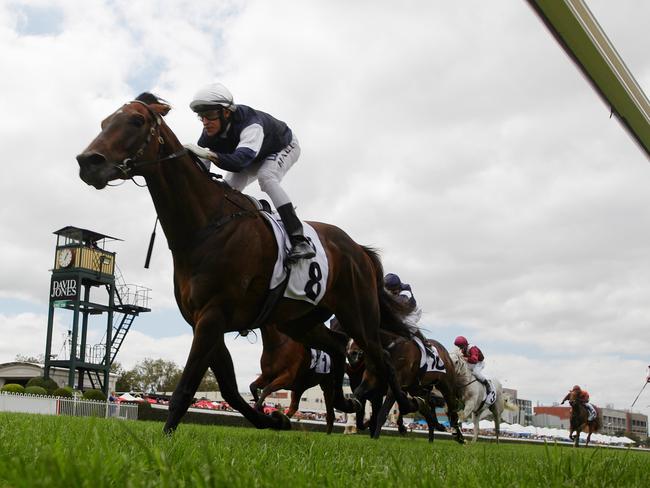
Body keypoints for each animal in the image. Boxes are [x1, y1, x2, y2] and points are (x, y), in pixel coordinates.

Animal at [77, 96, 420, 434]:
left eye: (136, 121)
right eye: (104, 122)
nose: (87, 162)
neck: (206, 226)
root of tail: (358, 249)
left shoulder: (213, 316)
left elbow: (186, 388)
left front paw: (166, 437)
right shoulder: (202, 320)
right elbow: (230, 389)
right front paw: (273, 419)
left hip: (358, 314)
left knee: (381, 356)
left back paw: (403, 404)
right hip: (299, 321)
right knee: (336, 346)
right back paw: (345, 400)